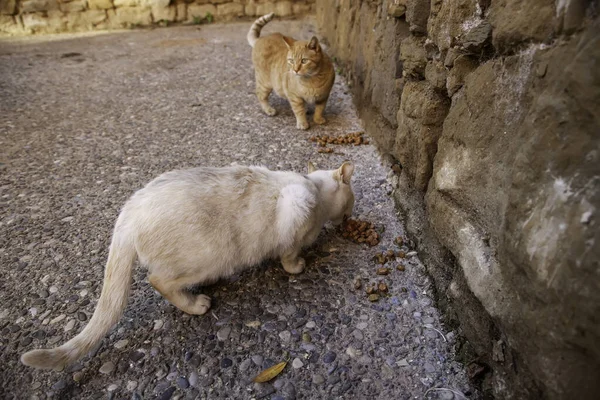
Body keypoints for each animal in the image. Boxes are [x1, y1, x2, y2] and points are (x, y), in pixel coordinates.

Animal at [21, 161, 354, 370]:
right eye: (351, 201)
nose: (349, 218)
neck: (314, 189)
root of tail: (129, 212)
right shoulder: (295, 211)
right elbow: (289, 256)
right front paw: (299, 265)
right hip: (209, 258)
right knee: (159, 281)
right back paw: (195, 304)